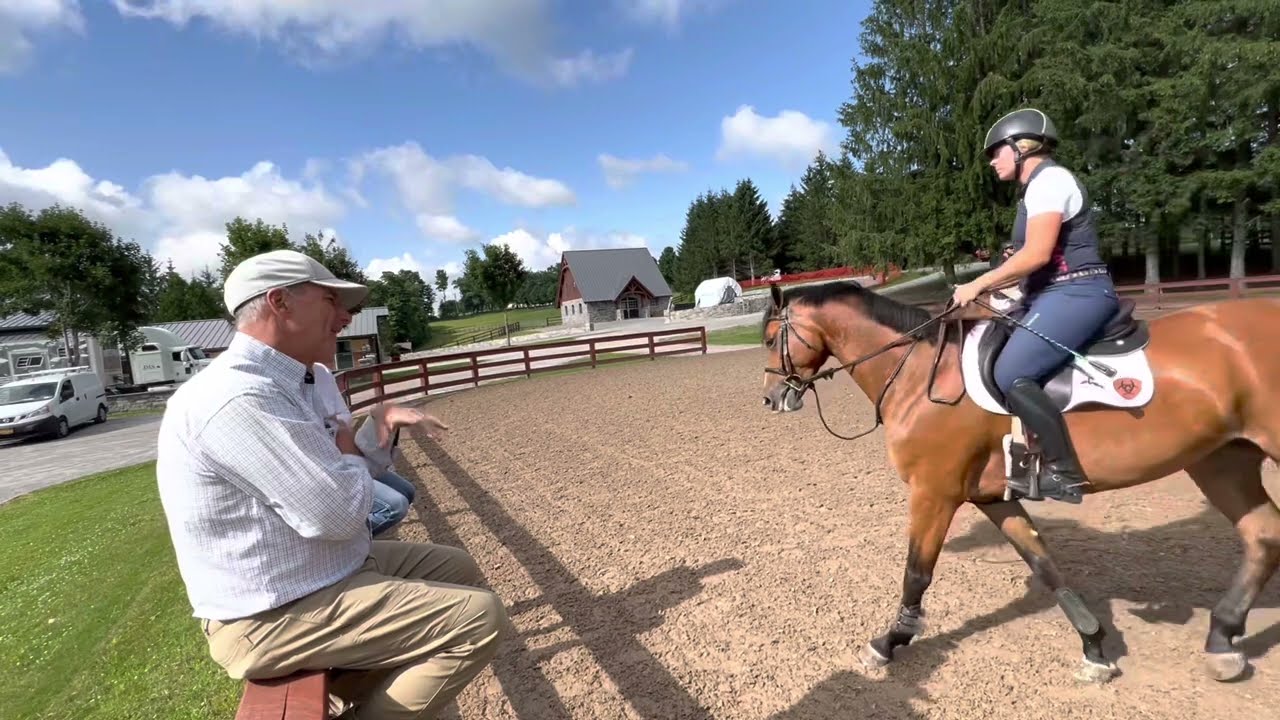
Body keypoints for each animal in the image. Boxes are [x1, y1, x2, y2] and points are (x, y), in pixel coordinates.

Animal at [758, 279, 1280, 684]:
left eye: (768, 337)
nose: (770, 398)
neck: (921, 375)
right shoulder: (993, 496)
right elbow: (1044, 565)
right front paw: (1094, 647)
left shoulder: (934, 491)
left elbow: (916, 572)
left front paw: (889, 642)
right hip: (1221, 459)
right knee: (1263, 535)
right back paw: (1223, 641)